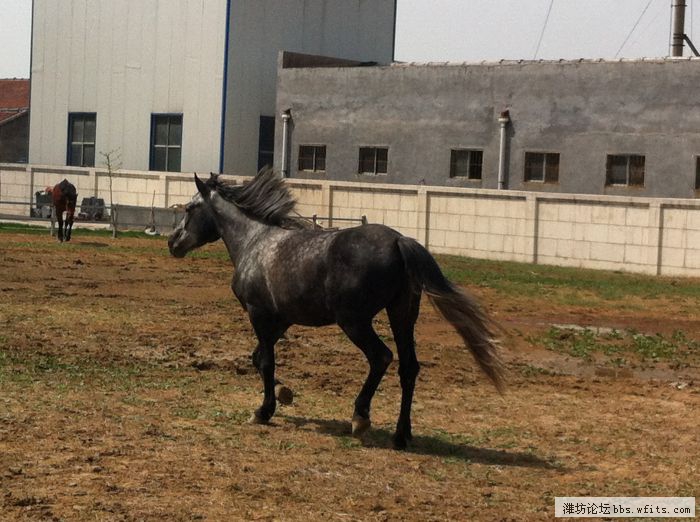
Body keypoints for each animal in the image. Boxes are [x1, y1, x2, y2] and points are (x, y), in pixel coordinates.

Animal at [169, 168, 504, 446]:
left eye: (189, 208)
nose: (173, 243)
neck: (255, 242)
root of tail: (399, 241)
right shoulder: (281, 319)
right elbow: (258, 358)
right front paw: (283, 393)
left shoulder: (259, 314)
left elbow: (265, 361)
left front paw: (263, 411)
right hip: (402, 315)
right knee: (409, 367)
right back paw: (401, 434)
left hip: (354, 321)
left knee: (381, 357)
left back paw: (360, 418)